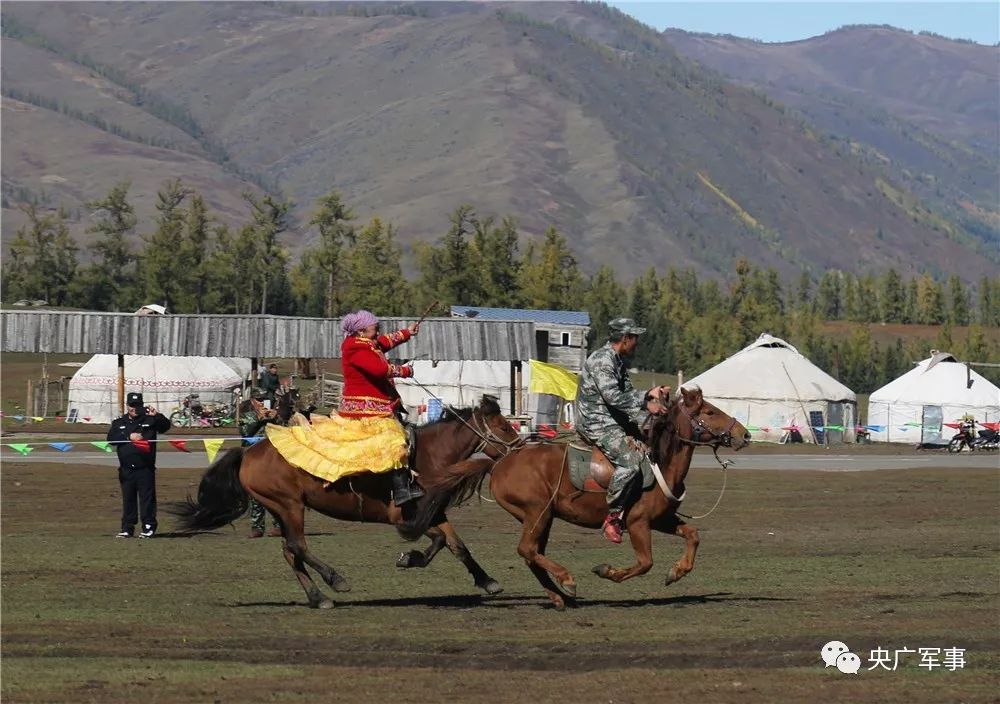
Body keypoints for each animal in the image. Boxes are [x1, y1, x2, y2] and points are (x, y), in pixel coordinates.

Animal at [168, 394, 520, 608]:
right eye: (504, 425)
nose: (519, 448)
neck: (428, 456)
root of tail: (249, 451)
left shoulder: (433, 513)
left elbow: (457, 545)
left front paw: (487, 580)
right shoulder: (404, 518)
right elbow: (436, 543)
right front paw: (409, 558)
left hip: (280, 508)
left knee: (290, 552)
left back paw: (317, 596)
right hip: (289, 506)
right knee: (298, 547)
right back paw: (335, 580)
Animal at [402, 388, 748, 608]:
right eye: (709, 411)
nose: (744, 434)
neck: (659, 461)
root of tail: (500, 462)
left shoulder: (661, 519)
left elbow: (693, 534)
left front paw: (676, 572)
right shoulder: (638, 523)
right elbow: (645, 562)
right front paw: (607, 571)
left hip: (543, 518)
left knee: (531, 555)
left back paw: (558, 597)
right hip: (538, 511)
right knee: (527, 549)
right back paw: (567, 581)